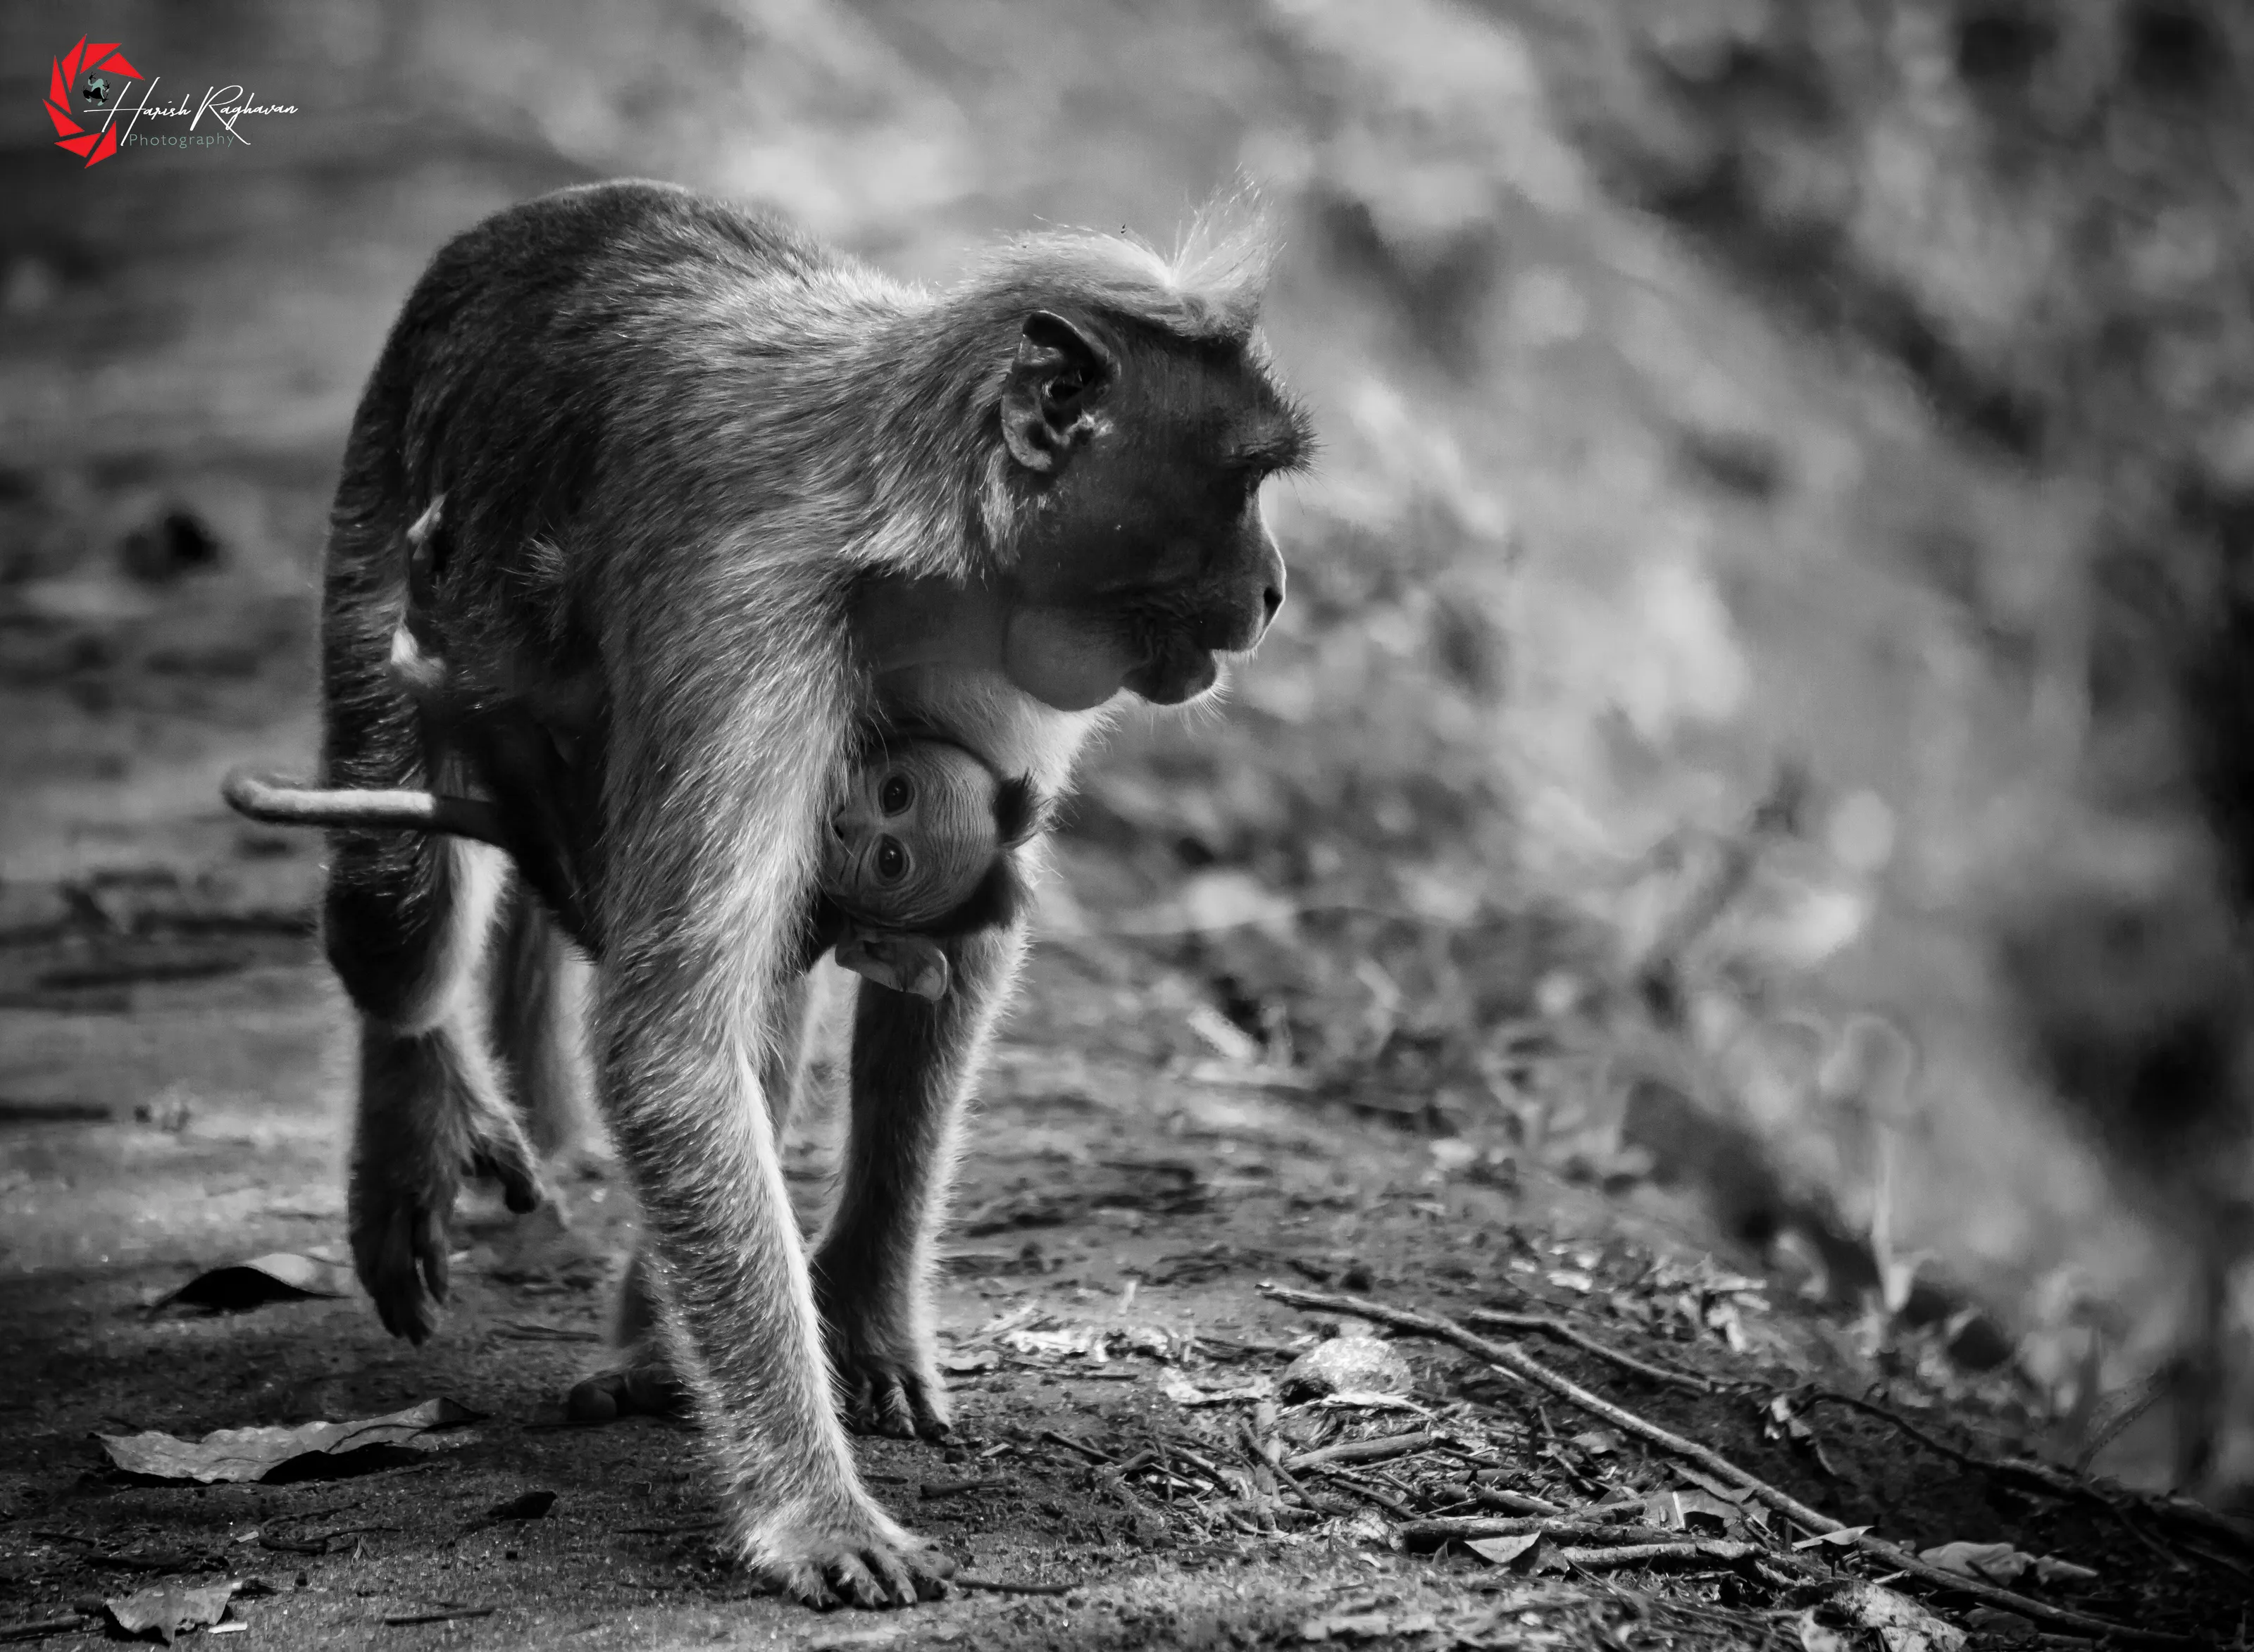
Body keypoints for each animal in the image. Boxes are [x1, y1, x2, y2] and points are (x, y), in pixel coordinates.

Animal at [300, 178, 1308, 1609]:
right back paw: (414, 1106)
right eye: (1243, 481)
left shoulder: (996, 666)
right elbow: (672, 1036)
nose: (1273, 590)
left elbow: (956, 941)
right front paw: (812, 1506)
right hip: (381, 511)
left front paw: (868, 1321)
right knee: (396, 910)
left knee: (761, 988)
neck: (920, 551)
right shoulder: (745, 625)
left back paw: (653, 1341)